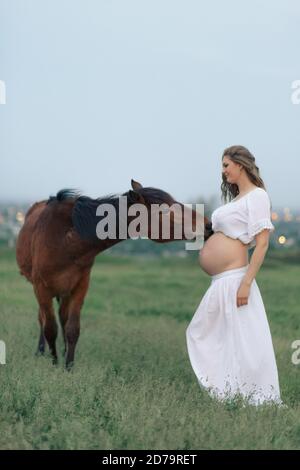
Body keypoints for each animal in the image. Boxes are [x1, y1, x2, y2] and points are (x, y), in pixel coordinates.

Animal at [15, 179, 213, 368]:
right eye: (163, 211)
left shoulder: (80, 286)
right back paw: (41, 351)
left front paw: (68, 366)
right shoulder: (41, 288)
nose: (208, 225)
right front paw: (54, 364)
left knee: (62, 318)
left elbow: (72, 329)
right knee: (43, 319)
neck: (66, 240)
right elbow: (50, 328)